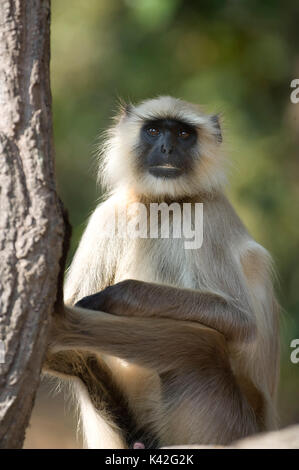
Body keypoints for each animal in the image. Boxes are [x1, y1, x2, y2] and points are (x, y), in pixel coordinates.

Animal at [45, 94, 282, 448]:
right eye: (154, 131)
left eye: (183, 134)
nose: (167, 149)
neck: (164, 205)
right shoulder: (110, 212)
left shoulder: (208, 214)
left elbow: (241, 322)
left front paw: (113, 298)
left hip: (229, 424)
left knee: (199, 346)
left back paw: (59, 321)